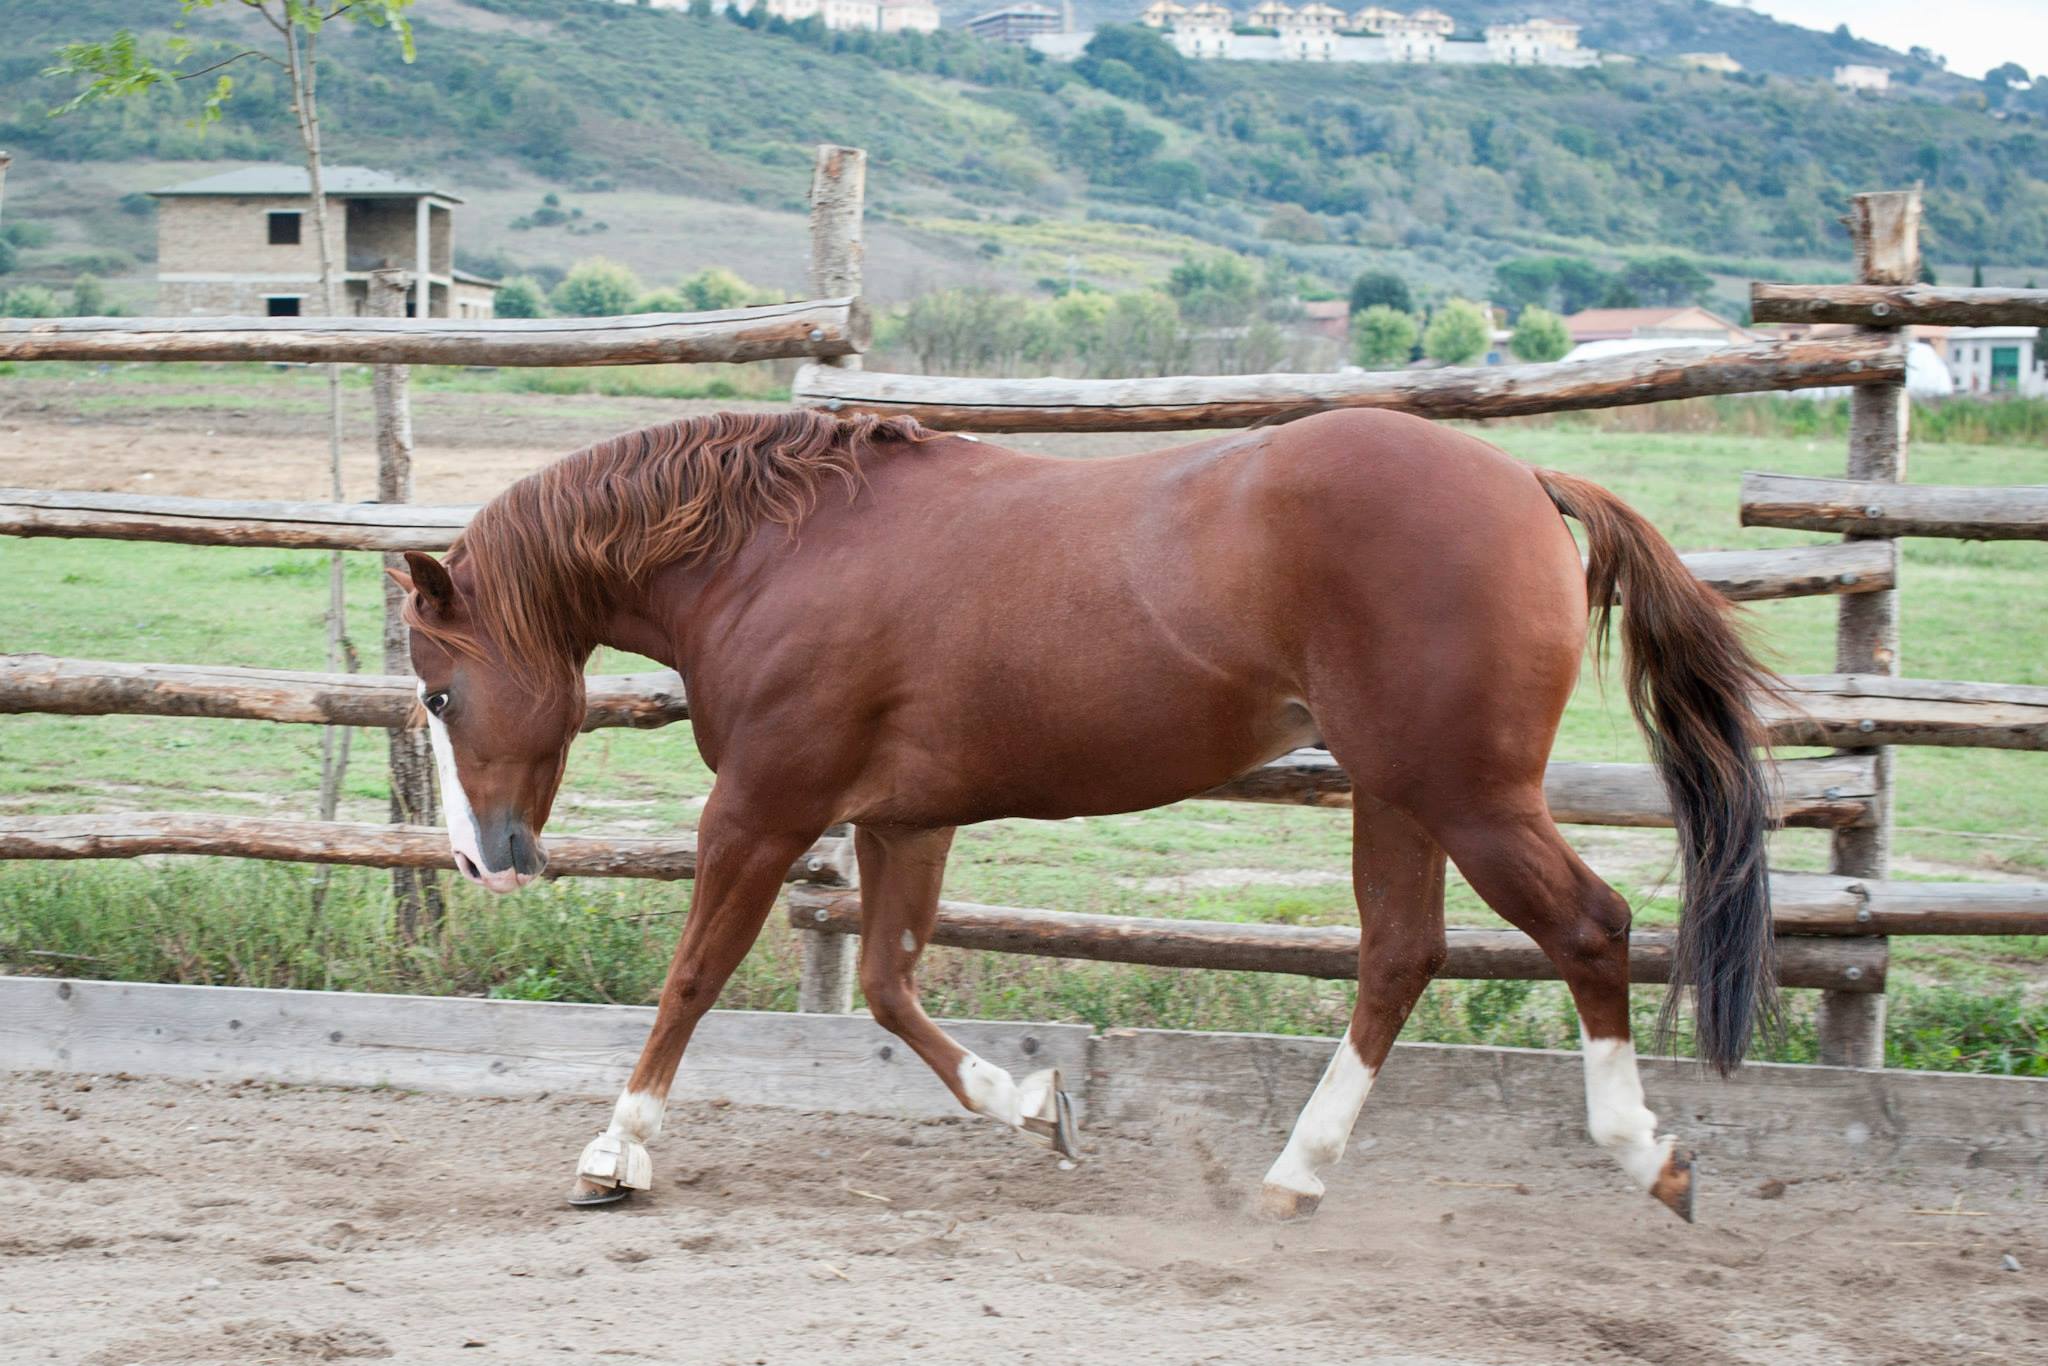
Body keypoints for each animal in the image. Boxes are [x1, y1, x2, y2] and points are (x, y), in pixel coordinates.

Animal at [395, 411, 1777, 1220]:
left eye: (438, 689)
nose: (481, 859)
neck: (778, 552)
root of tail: (1528, 480)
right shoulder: (903, 821)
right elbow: (890, 987)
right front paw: (1036, 1105)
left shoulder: (761, 810)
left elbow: (693, 976)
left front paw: (615, 1154)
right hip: (1398, 793)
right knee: (1399, 956)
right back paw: (1290, 1177)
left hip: (1464, 792)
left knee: (1589, 927)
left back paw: (1646, 1154)